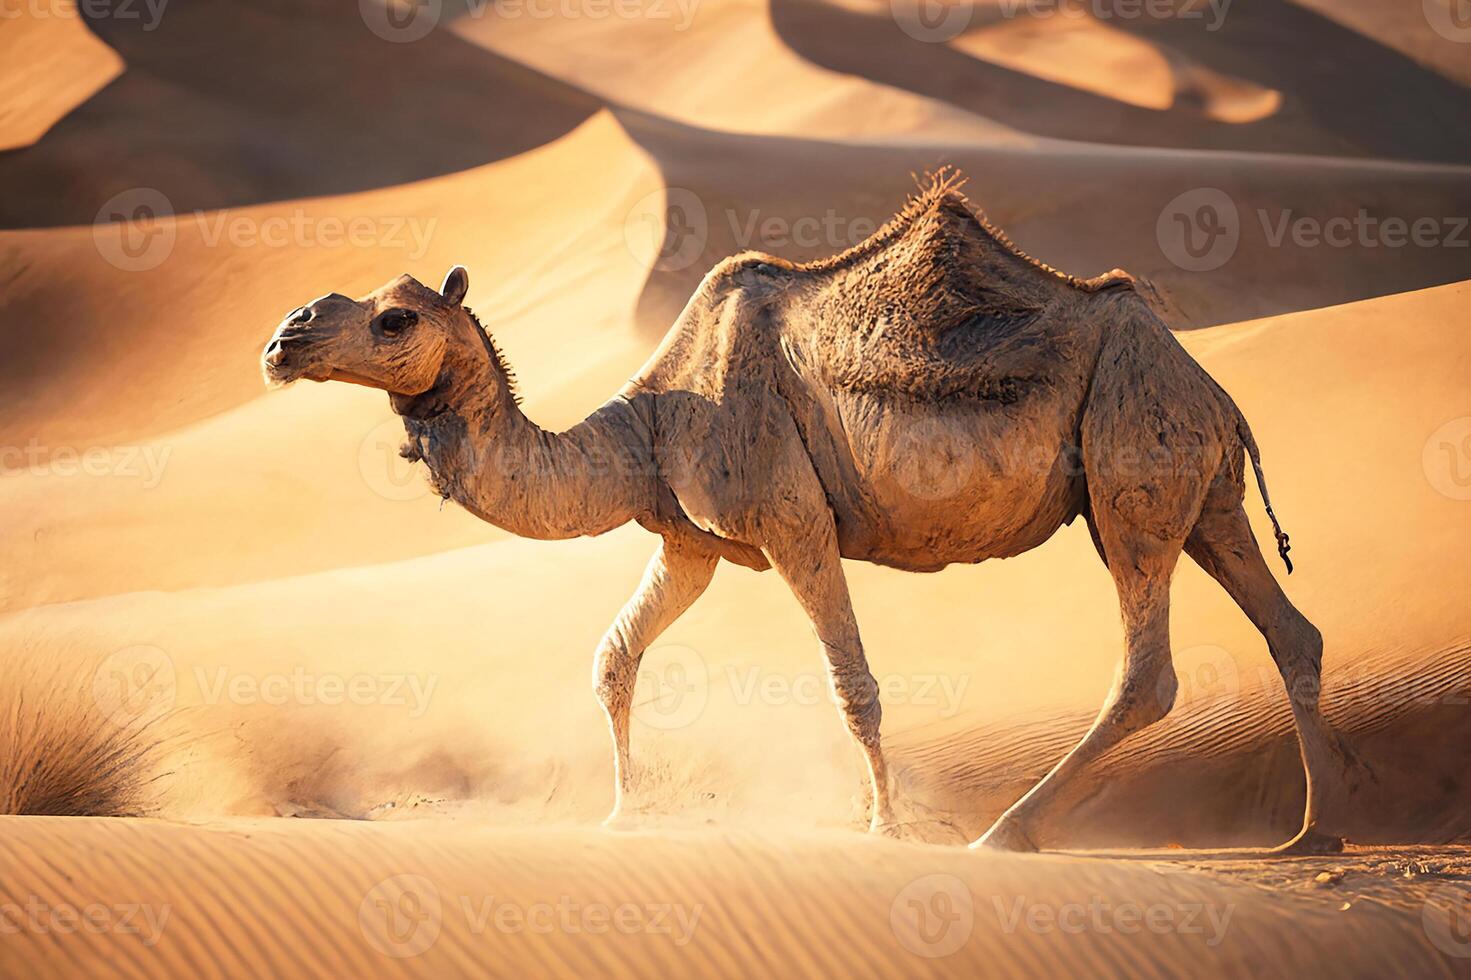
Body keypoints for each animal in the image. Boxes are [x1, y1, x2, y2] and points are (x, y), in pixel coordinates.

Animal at [258, 177, 1347, 853]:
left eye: (394, 318)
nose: (283, 337)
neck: (645, 422)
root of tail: (1214, 390)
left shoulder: (789, 520)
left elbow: (851, 685)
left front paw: (883, 826)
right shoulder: (692, 542)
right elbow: (614, 656)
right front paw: (622, 817)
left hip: (1128, 458)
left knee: (1148, 668)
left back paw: (1007, 831)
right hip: (1204, 490)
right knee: (1289, 627)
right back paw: (1313, 831)